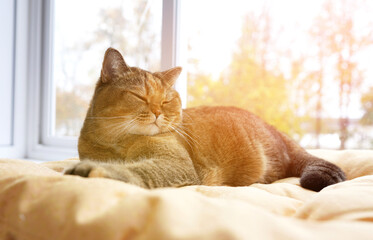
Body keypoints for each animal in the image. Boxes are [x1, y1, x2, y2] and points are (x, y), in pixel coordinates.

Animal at [64, 47, 346, 191]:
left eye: (166, 100)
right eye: (139, 96)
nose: (157, 112)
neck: (117, 143)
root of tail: (280, 134)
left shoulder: (175, 164)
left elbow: (134, 170)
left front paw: (92, 170)